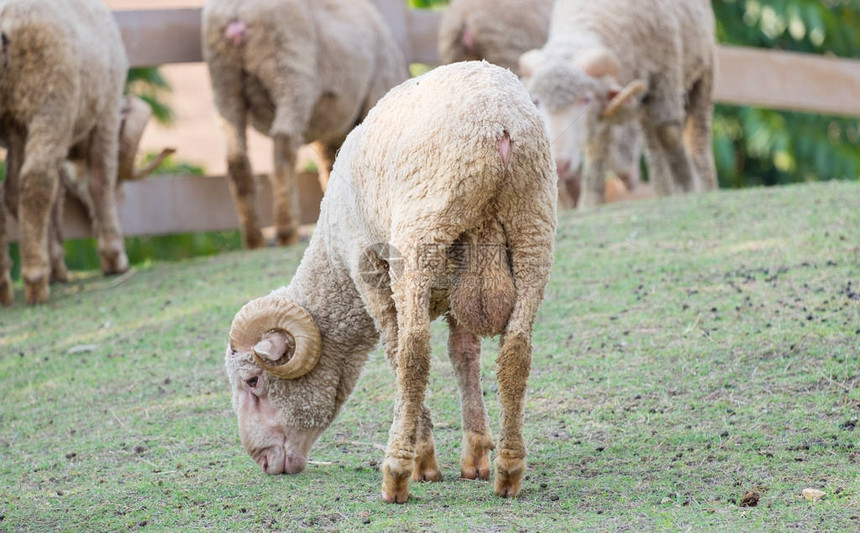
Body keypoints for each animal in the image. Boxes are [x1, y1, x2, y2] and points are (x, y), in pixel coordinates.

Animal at [0, 0, 131, 304]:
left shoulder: (16, 130)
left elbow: (34, 197)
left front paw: (56, 264)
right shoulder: (106, 113)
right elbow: (100, 182)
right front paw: (114, 256)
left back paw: (5, 286)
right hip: (51, 97)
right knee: (37, 180)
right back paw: (35, 281)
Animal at [207, 0, 412, 248]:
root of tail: (235, 11)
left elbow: (331, 167)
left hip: (224, 82)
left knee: (236, 157)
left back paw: (254, 239)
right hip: (289, 68)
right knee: (283, 142)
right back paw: (286, 230)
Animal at [223, 62, 556, 502]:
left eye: (253, 380)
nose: (262, 460)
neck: (334, 266)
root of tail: (499, 128)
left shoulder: (368, 270)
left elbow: (397, 353)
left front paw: (424, 461)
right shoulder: (456, 288)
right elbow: (464, 355)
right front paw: (475, 456)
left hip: (419, 241)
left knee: (414, 355)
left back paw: (396, 473)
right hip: (533, 229)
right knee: (517, 352)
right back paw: (509, 471)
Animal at [520, 0, 716, 206]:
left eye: (587, 99)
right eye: (535, 100)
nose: (560, 163)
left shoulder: (665, 76)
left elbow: (668, 132)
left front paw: (687, 188)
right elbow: (596, 151)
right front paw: (590, 203)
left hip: (703, 72)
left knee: (697, 137)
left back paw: (705, 187)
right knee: (653, 146)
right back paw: (665, 192)